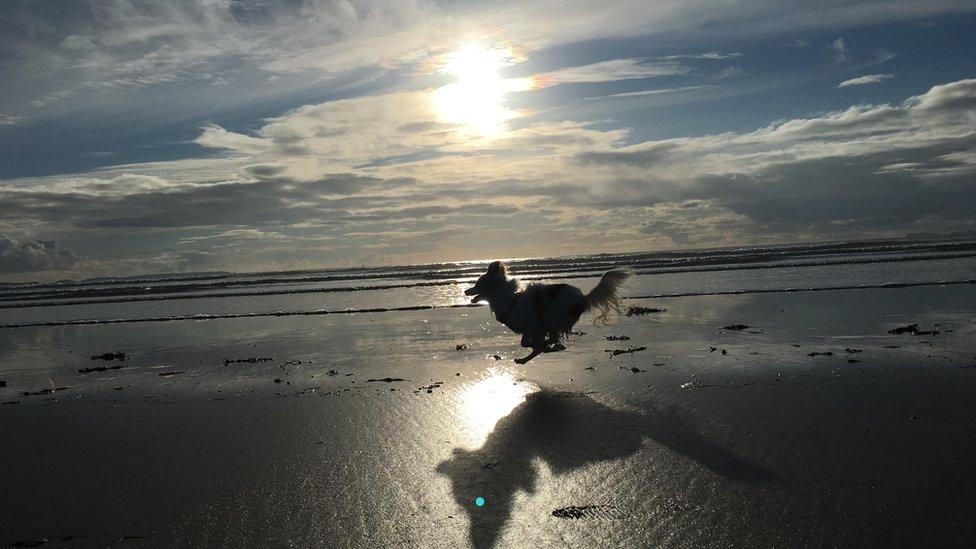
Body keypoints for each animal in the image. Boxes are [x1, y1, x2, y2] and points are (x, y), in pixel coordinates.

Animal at [466, 262, 632, 364]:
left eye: (478, 284)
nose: (465, 291)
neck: (509, 300)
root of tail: (582, 299)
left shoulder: (533, 323)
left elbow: (525, 342)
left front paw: (543, 346)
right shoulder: (536, 328)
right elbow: (530, 343)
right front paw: (543, 347)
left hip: (551, 318)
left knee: (551, 339)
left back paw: (547, 347)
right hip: (548, 323)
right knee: (550, 340)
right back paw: (529, 357)